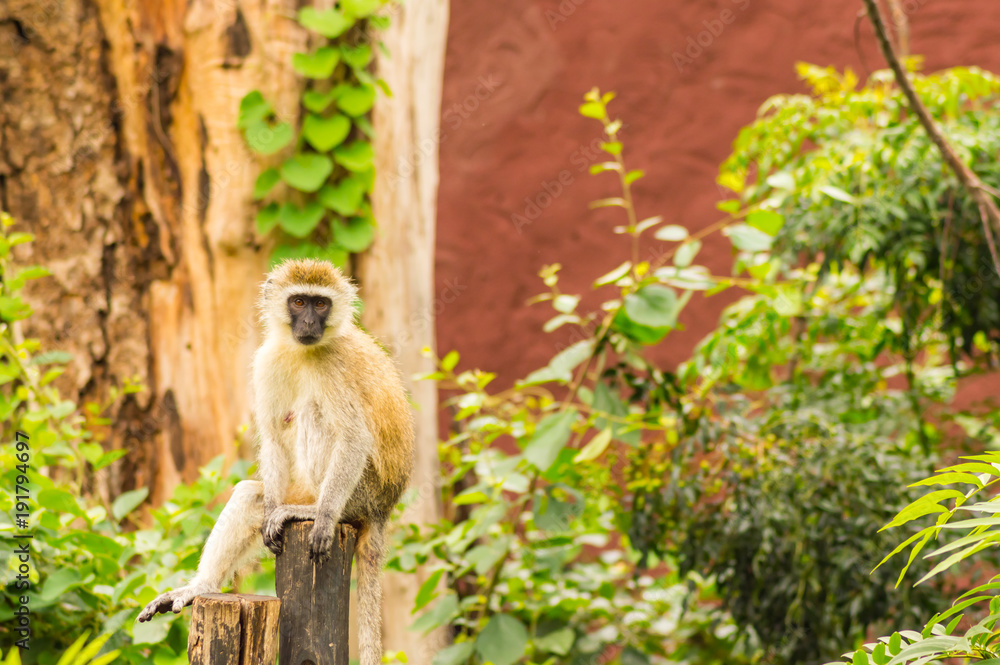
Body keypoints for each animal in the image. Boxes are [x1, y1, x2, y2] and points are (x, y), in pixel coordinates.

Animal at [137, 259, 414, 665]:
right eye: (299, 302)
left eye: (321, 304)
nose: (310, 323)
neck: (306, 351)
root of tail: (384, 509)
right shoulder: (268, 359)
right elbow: (270, 436)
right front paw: (269, 508)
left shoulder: (333, 367)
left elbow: (354, 438)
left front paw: (325, 517)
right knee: (248, 494)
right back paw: (201, 586)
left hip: (363, 494)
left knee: (316, 414)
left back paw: (316, 512)